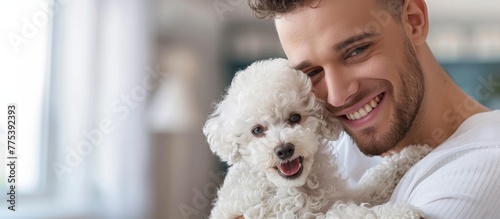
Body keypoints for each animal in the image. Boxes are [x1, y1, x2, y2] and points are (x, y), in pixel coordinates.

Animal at [203, 58, 430, 219]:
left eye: (295, 117)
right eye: (257, 130)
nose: (284, 149)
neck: (298, 188)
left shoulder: (342, 195)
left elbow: (373, 184)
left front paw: (413, 153)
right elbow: (347, 212)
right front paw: (399, 213)